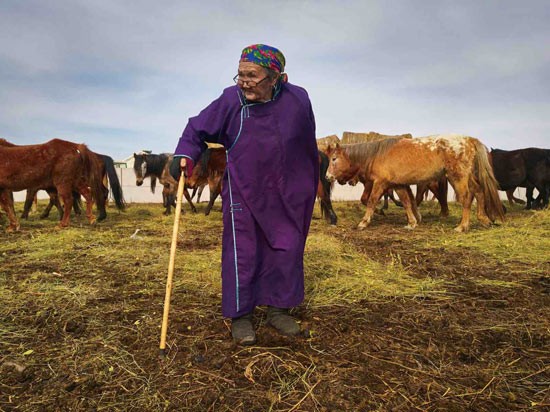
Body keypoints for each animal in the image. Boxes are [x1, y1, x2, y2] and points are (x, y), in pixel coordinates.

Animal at [328, 135, 508, 232]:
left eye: (334, 159)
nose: (328, 176)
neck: (378, 154)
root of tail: (469, 140)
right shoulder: (398, 184)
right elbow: (407, 202)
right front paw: (412, 222)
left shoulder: (380, 183)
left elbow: (371, 201)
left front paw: (363, 222)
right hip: (467, 176)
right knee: (479, 191)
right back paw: (483, 219)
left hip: (458, 176)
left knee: (466, 197)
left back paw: (462, 226)